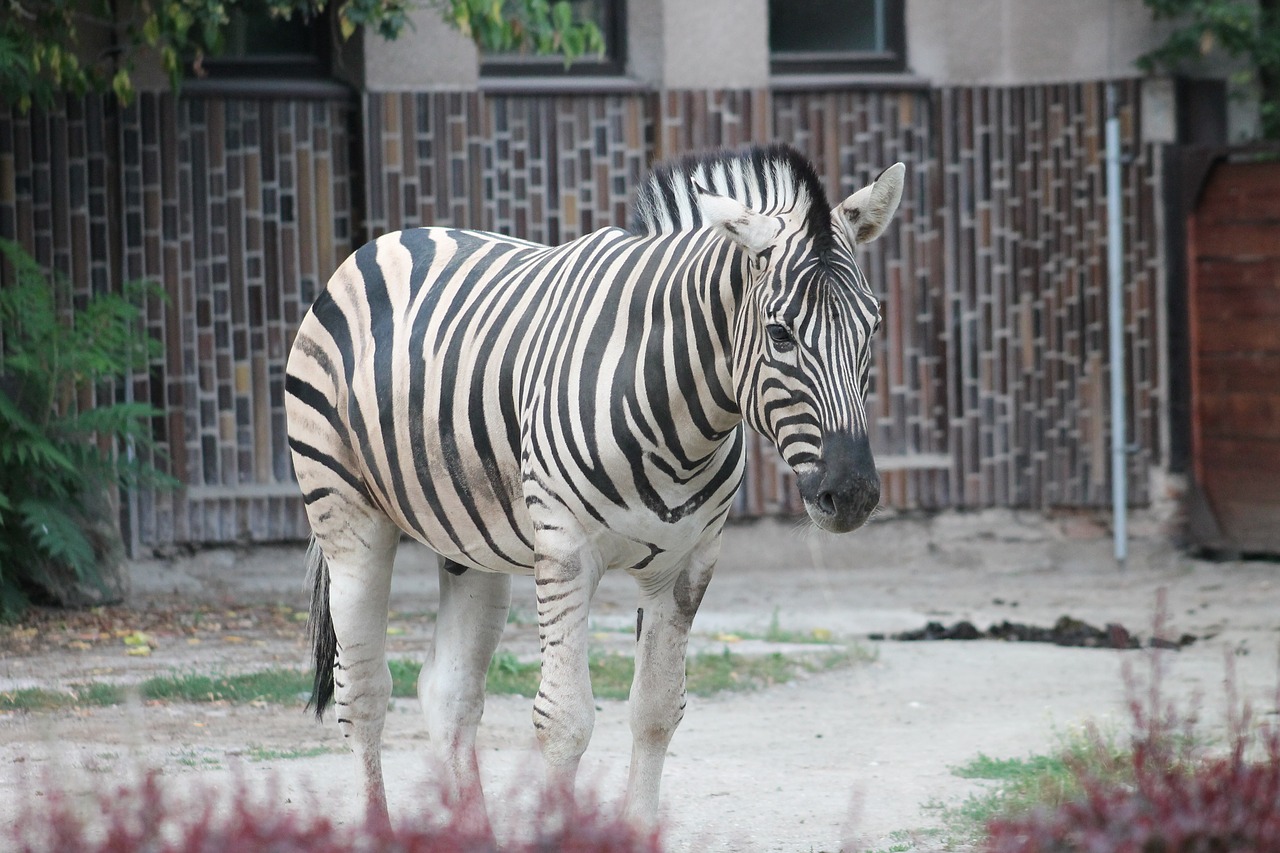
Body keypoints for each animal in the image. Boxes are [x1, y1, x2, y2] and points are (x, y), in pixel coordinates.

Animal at [285, 142, 906, 824]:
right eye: (779, 333)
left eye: (873, 327)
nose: (853, 494)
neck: (678, 416)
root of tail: (391, 239)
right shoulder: (565, 550)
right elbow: (565, 721)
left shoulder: (688, 564)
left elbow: (657, 712)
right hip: (347, 517)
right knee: (364, 694)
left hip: (471, 544)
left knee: (448, 692)